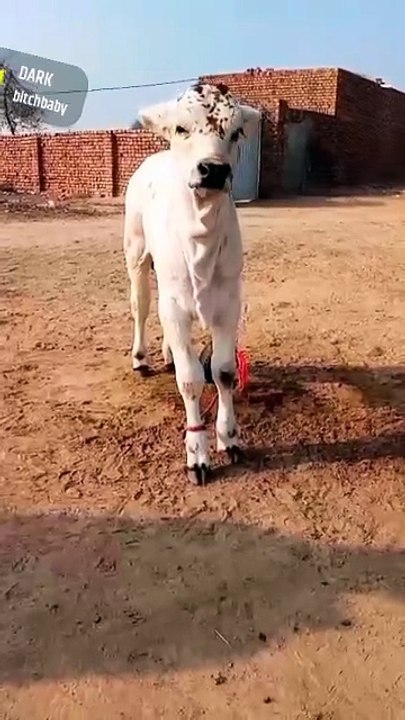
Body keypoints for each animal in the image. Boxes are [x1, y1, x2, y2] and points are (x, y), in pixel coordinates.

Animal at [123, 82, 260, 485]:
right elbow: (190, 380)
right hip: (136, 252)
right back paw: (142, 358)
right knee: (140, 306)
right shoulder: (173, 304)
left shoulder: (229, 303)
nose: (213, 170)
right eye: (182, 128)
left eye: (236, 132)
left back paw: (168, 353)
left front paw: (229, 438)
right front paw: (197, 454)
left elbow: (223, 372)